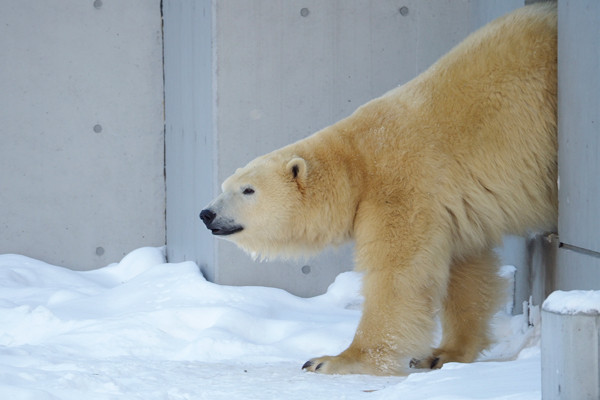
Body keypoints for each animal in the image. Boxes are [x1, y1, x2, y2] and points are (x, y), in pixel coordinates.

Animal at [200, 3, 556, 376]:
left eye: (247, 190)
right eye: (224, 185)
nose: (206, 213)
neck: (356, 163)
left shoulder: (401, 183)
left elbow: (398, 273)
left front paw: (333, 360)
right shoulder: (453, 205)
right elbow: (466, 269)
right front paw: (443, 353)